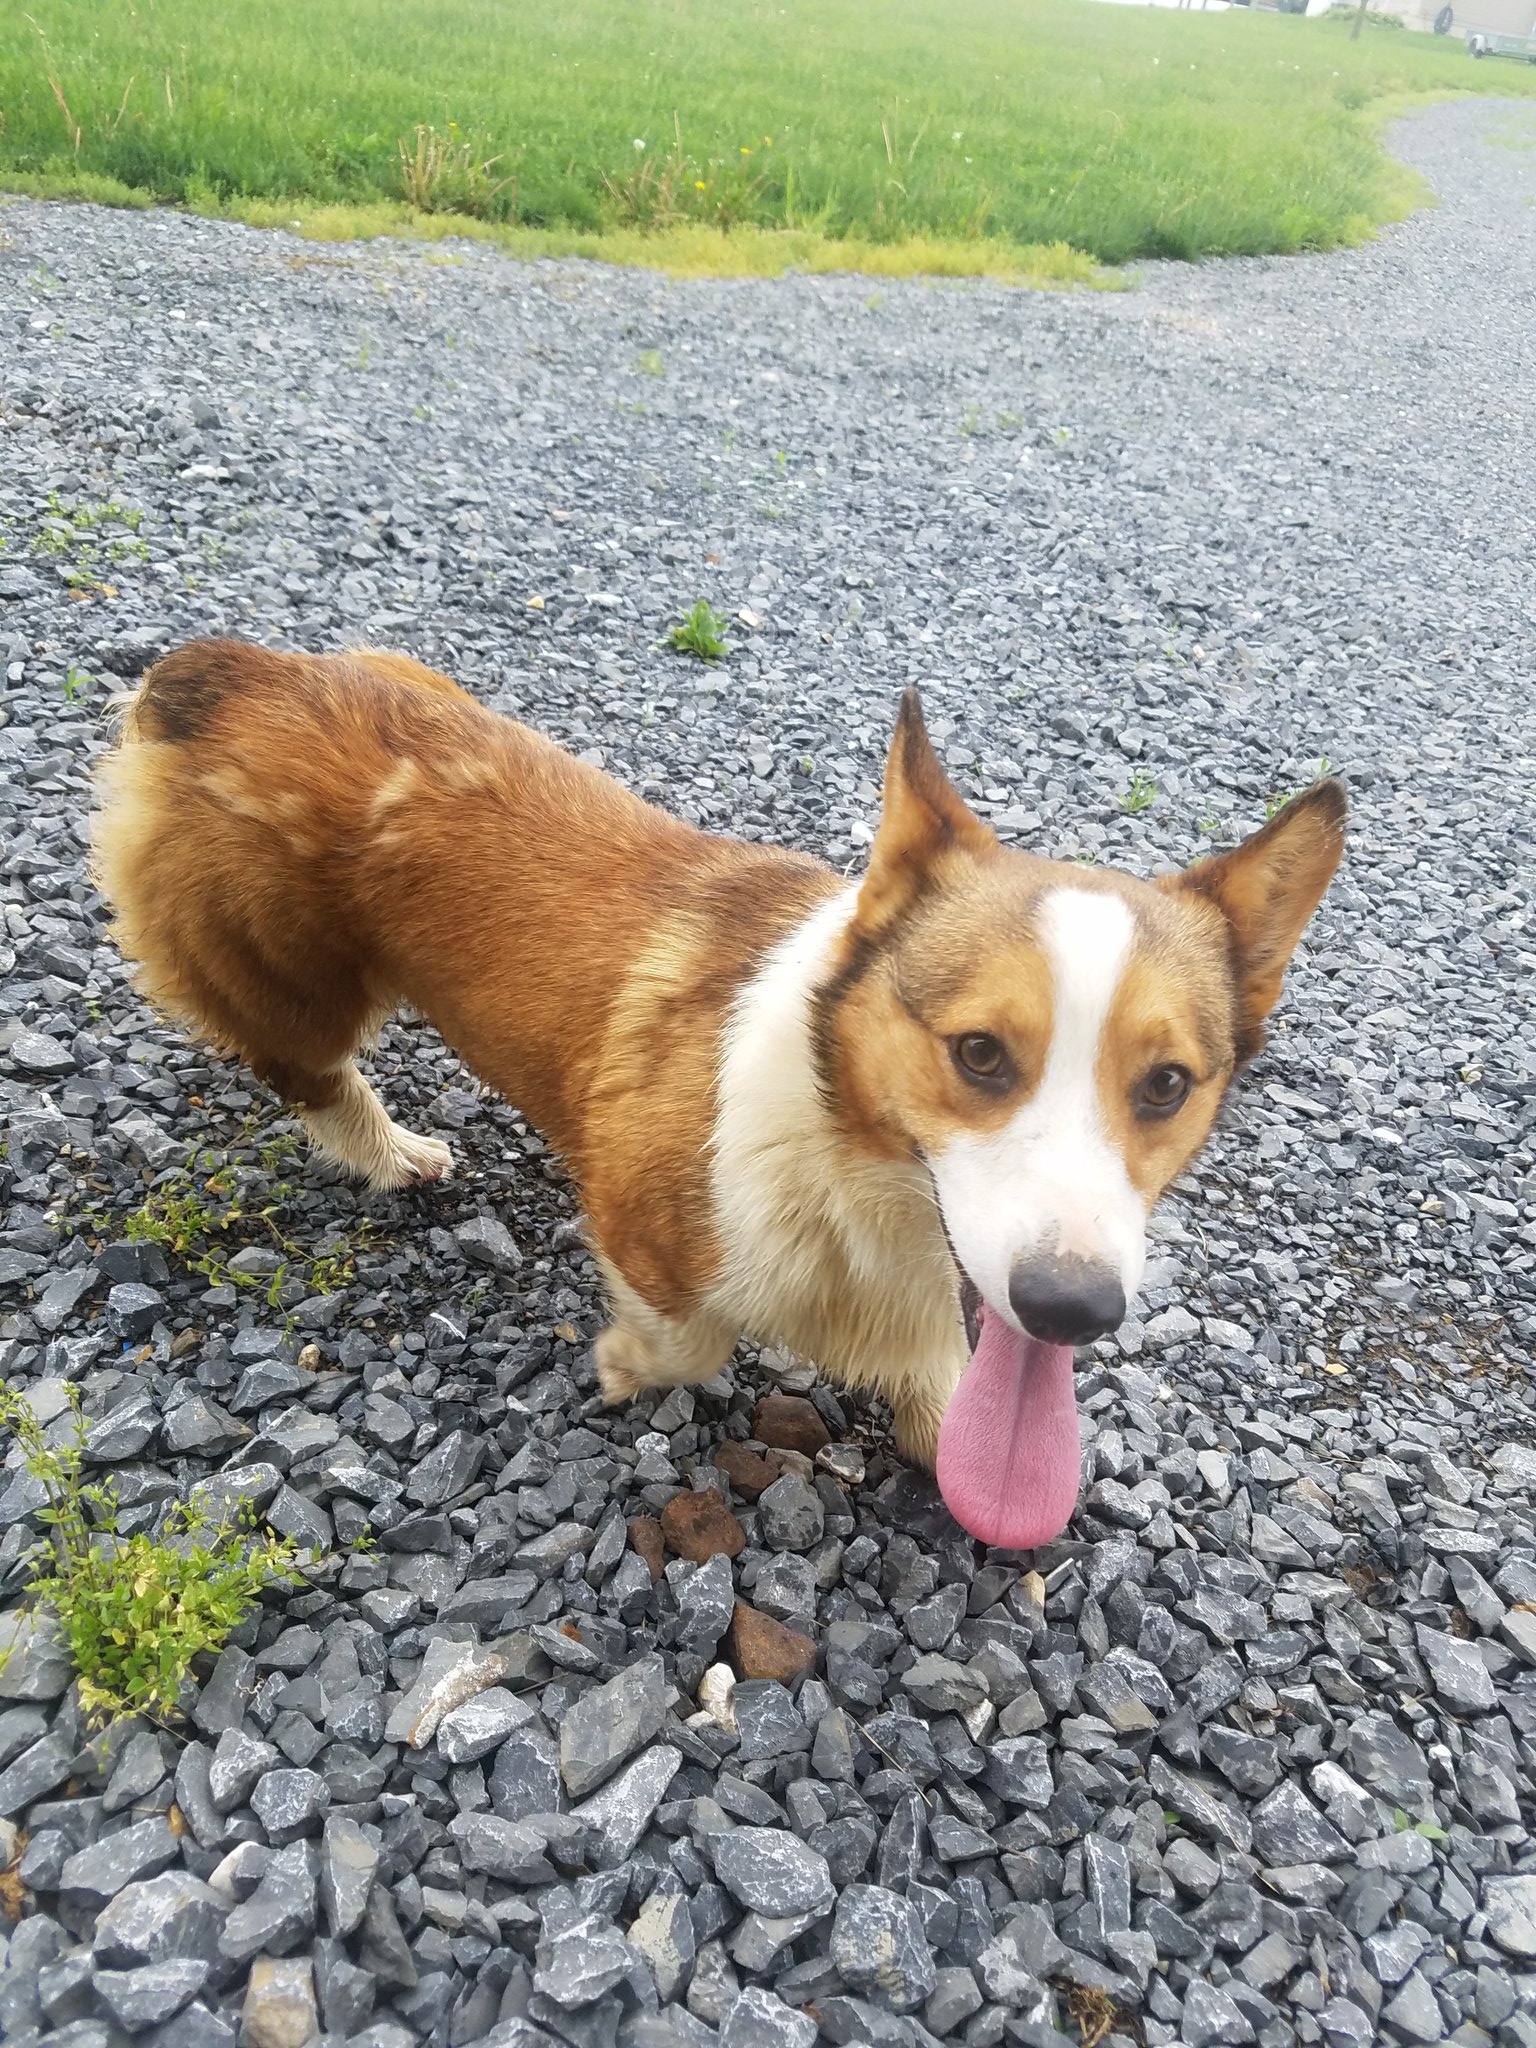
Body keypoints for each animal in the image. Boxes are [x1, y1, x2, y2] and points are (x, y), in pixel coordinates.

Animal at [93, 647, 1343, 1540]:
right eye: (981, 1052)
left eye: (1167, 1082)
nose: (1075, 1310)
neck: (852, 1165)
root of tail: (229, 668)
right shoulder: (640, 1211)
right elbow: (685, 1341)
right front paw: (624, 1365)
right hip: (294, 980)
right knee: (300, 1067)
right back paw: (393, 1150)